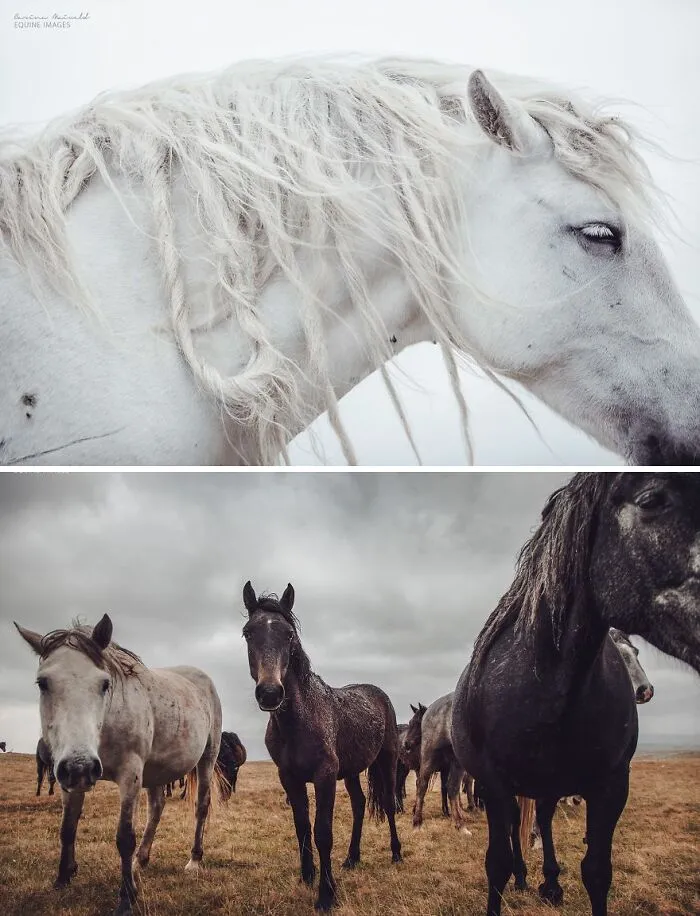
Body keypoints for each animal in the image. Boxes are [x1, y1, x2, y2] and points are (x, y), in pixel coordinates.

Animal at [14, 615, 223, 916]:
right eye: (43, 683)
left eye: (104, 684)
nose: (81, 765)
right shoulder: (68, 777)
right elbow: (67, 828)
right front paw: (63, 877)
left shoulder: (130, 774)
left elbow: (124, 837)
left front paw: (127, 897)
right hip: (155, 772)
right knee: (156, 809)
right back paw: (141, 861)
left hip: (207, 757)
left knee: (201, 806)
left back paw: (194, 860)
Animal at [242, 581, 402, 911]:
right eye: (248, 632)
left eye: (289, 634)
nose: (270, 693)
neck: (299, 722)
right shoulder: (288, 778)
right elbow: (302, 828)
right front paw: (307, 875)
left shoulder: (324, 776)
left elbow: (322, 833)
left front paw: (327, 894)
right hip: (352, 772)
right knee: (359, 805)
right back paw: (352, 858)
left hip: (387, 761)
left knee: (389, 804)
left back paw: (395, 853)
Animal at [405, 694, 473, 832]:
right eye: (410, 722)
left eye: (417, 723)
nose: (406, 743)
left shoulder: (445, 769)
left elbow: (446, 788)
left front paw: (448, 811)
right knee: (420, 784)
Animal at [452, 472, 700, 916]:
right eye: (651, 500)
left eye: (637, 653)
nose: (644, 691)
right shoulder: (494, 783)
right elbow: (496, 862)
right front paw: (513, 877)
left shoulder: (611, 784)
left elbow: (597, 870)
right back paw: (527, 875)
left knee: (545, 819)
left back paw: (549, 882)